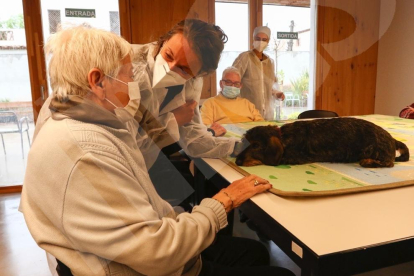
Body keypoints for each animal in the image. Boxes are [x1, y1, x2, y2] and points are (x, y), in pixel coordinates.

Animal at [234, 117, 410, 167]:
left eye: (256, 145)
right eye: (246, 142)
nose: (237, 161)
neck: (284, 137)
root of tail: (392, 139)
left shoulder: (294, 157)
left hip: (375, 151)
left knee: (389, 163)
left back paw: (368, 161)